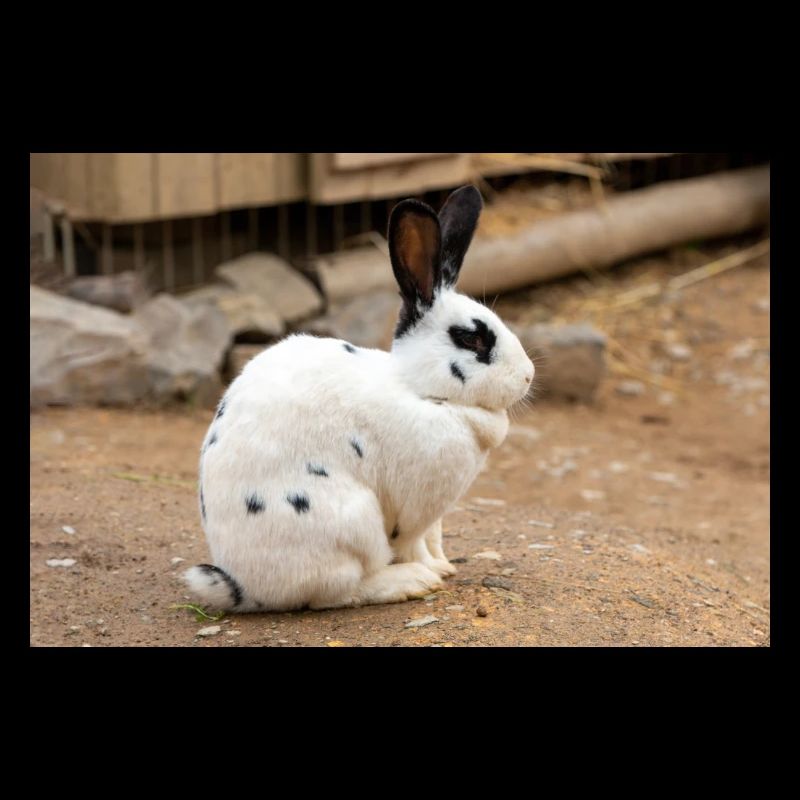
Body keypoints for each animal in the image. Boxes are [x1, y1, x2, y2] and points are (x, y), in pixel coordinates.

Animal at [183, 185, 534, 612]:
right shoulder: (413, 511)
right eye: (472, 338)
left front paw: (445, 566)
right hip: (353, 521)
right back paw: (411, 581)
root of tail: (242, 585)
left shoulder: (434, 518)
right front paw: (431, 572)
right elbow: (412, 543)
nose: (528, 375)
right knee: (338, 590)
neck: (421, 391)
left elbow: (433, 540)